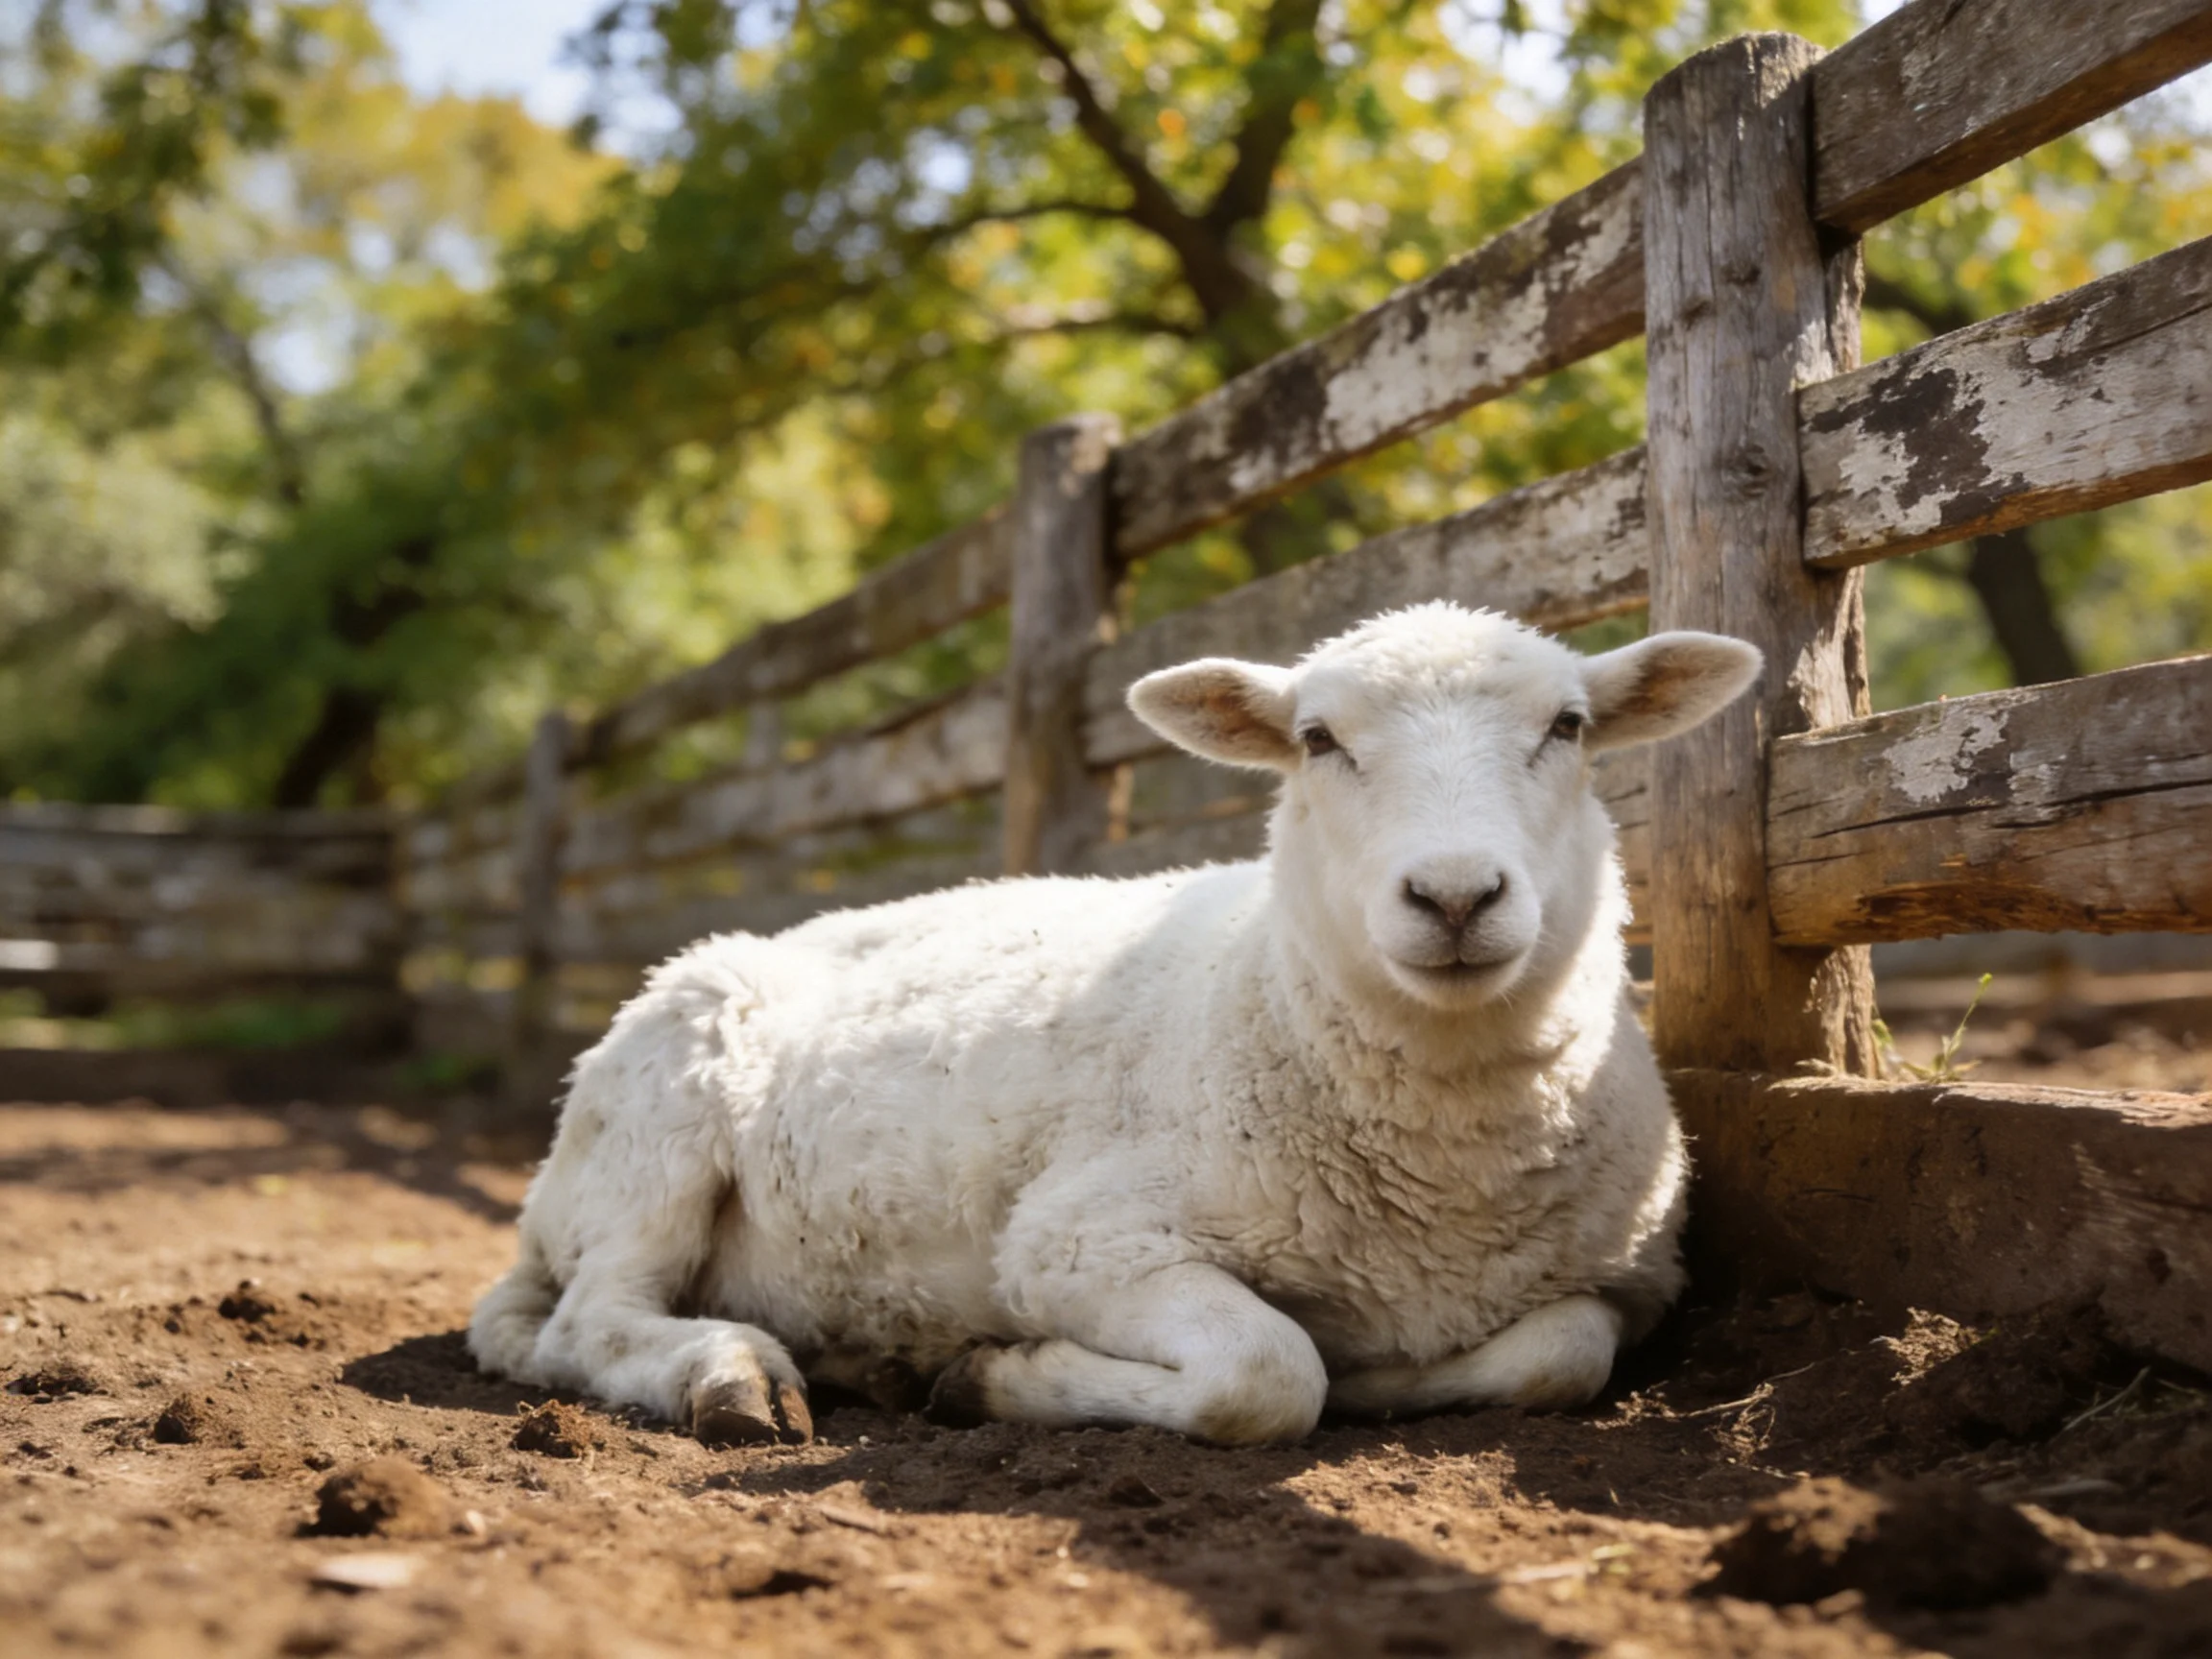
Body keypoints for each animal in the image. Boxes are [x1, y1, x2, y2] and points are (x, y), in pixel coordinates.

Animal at [469, 602, 1761, 1447]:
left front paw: (1388, 1378)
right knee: (592, 1324)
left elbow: (1559, 1356)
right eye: (1318, 740)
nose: (1453, 896)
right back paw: (728, 1374)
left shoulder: (1633, 1280)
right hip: (663, 1107)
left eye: (1570, 727)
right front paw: (998, 1380)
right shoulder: (1078, 1241)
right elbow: (1267, 1375)